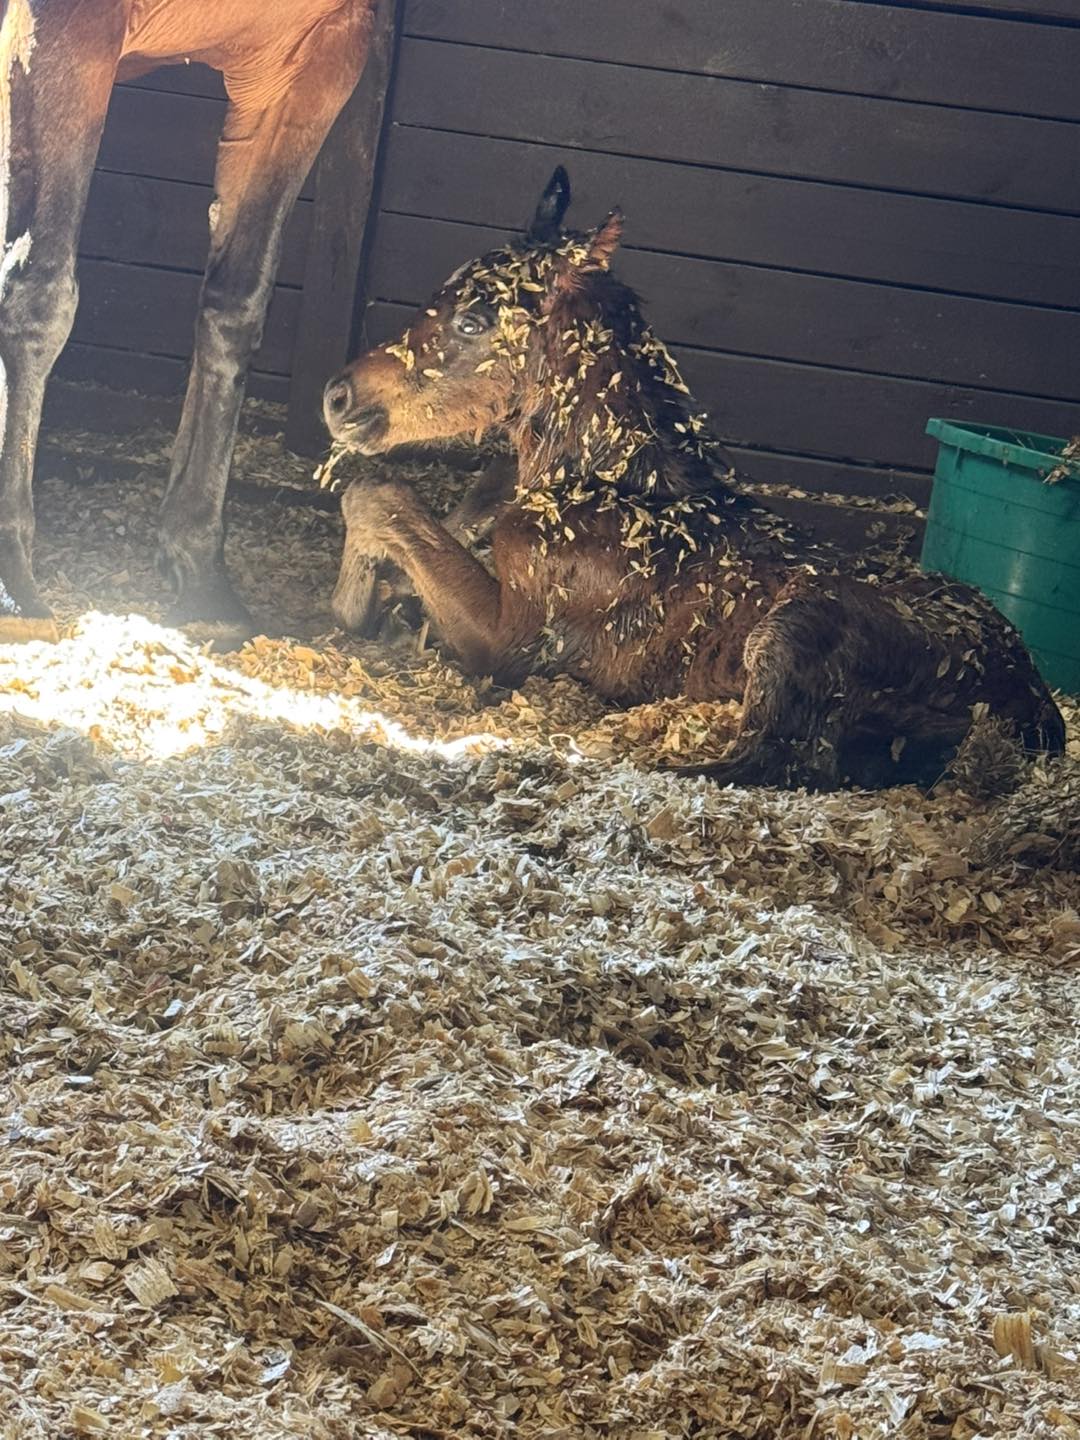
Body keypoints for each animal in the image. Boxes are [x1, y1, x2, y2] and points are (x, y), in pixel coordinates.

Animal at [0, 0, 378, 641]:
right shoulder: (57, 28)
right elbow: (36, 292)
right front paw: (10, 581)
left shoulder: (308, 57)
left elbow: (236, 304)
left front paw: (199, 567)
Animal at [321, 168, 1065, 791]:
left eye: (475, 320)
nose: (338, 397)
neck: (611, 487)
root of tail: (1035, 715)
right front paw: (381, 605)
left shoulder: (512, 639)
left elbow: (378, 494)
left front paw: (350, 604)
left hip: (790, 629)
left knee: (780, 763)